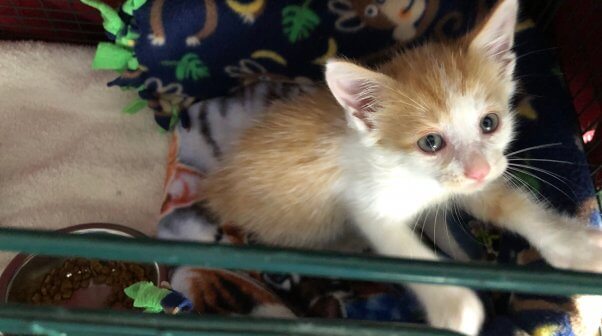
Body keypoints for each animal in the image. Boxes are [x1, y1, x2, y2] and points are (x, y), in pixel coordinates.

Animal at [202, 0, 600, 334]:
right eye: (430, 143)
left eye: (490, 123)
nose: (477, 172)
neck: (415, 176)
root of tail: (217, 188)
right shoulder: (365, 198)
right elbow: (397, 246)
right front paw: (454, 305)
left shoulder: (472, 178)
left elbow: (507, 204)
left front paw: (575, 246)